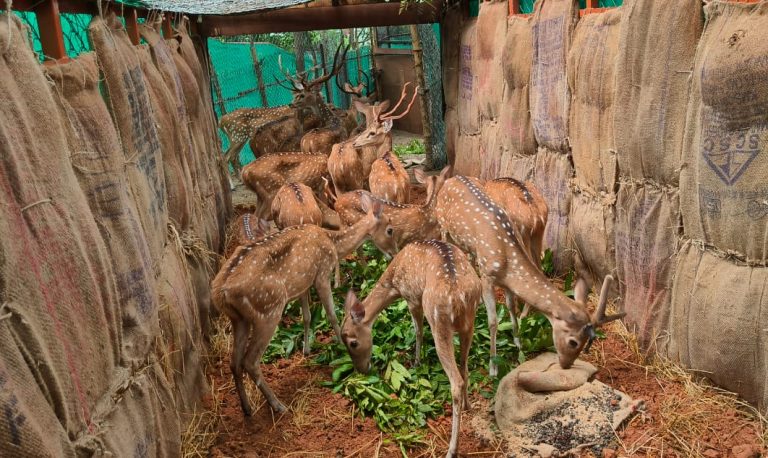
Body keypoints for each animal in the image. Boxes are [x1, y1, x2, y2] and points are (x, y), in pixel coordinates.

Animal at [211, 193, 397, 416]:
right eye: (390, 229)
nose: (394, 253)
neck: (333, 242)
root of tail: (221, 292)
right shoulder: (322, 273)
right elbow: (332, 314)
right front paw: (339, 344)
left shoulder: (302, 282)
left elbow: (307, 317)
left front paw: (306, 349)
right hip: (268, 310)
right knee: (250, 360)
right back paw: (278, 405)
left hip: (238, 319)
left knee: (234, 362)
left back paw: (247, 409)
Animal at [341, 239, 481, 458]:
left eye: (353, 343)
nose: (361, 370)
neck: (393, 282)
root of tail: (460, 297)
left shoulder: (412, 297)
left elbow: (417, 331)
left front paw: (415, 362)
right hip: (470, 322)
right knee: (464, 368)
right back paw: (469, 406)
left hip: (438, 320)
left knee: (456, 381)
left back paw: (452, 449)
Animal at [435, 175, 624, 377]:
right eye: (573, 342)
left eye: (587, 344)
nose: (566, 365)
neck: (507, 260)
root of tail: (450, 179)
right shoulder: (487, 274)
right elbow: (493, 321)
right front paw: (493, 367)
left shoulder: (506, 282)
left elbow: (511, 307)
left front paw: (518, 343)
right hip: (443, 225)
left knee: (470, 257)